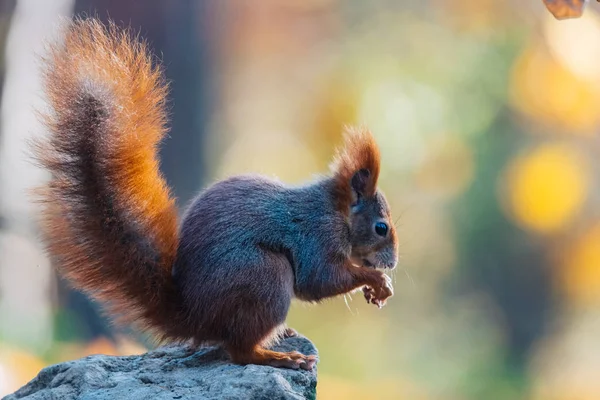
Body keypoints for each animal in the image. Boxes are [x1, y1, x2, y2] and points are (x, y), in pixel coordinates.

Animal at [32, 18, 398, 368]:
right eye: (381, 227)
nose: (393, 263)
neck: (335, 211)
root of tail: (195, 317)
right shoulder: (316, 236)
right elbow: (319, 279)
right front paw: (377, 280)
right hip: (263, 276)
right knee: (238, 350)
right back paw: (277, 357)